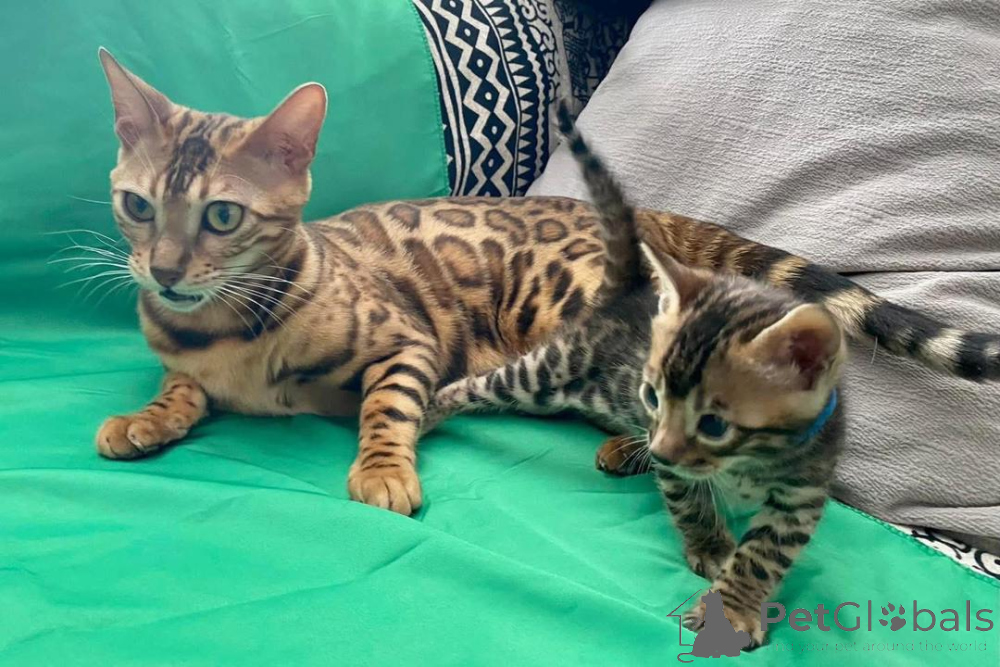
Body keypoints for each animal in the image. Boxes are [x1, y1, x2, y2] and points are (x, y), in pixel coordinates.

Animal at [92, 48, 998, 518]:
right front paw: (147, 416)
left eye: (221, 217)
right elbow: (180, 387)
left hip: (565, 309)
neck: (223, 329)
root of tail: (650, 214)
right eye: (138, 206)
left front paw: (382, 467)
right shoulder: (186, 354)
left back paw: (641, 442)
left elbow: (387, 406)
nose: (162, 271)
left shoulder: (406, 342)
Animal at [425, 103, 849, 648]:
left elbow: (763, 556)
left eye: (714, 424)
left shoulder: (802, 494)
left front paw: (736, 606)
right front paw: (711, 547)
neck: (748, 462)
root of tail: (624, 289)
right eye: (653, 396)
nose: (662, 448)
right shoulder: (678, 467)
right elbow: (690, 503)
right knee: (478, 385)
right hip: (547, 370)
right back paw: (426, 414)